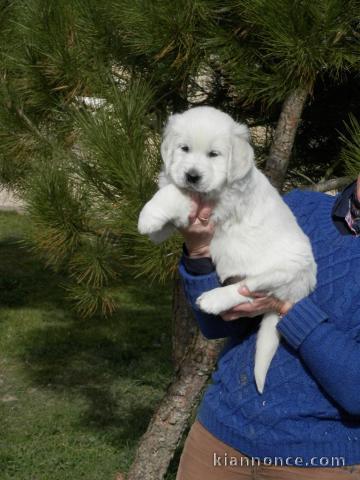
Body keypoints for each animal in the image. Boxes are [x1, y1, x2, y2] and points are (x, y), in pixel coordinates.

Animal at [136, 107, 316, 392]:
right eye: (184, 149)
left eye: (214, 154)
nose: (192, 176)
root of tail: (300, 291)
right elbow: (170, 192)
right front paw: (155, 228)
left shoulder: (214, 201)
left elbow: (176, 193)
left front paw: (149, 215)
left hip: (283, 271)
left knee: (248, 290)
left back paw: (213, 299)